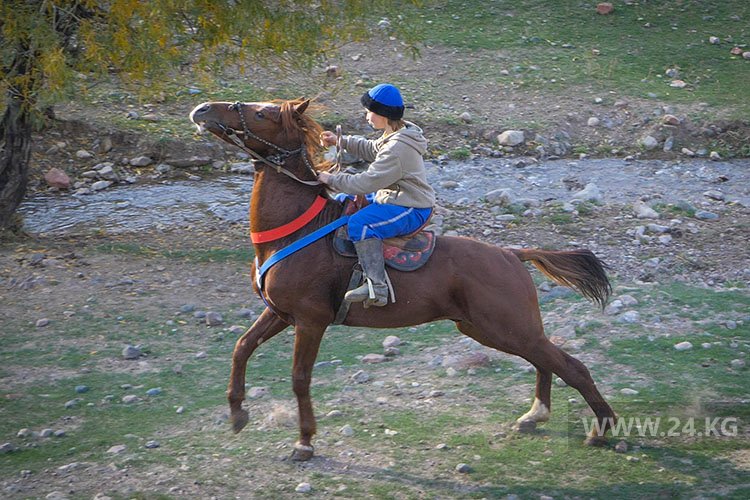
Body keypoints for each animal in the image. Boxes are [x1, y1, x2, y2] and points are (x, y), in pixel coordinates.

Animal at [189, 98, 617, 461]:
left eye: (261, 113)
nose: (203, 109)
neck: (294, 231)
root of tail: (511, 254)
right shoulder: (279, 314)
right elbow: (242, 348)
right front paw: (237, 413)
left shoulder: (311, 321)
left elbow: (299, 378)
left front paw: (305, 442)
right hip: (491, 329)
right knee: (545, 361)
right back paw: (535, 415)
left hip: (507, 327)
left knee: (570, 366)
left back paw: (601, 428)